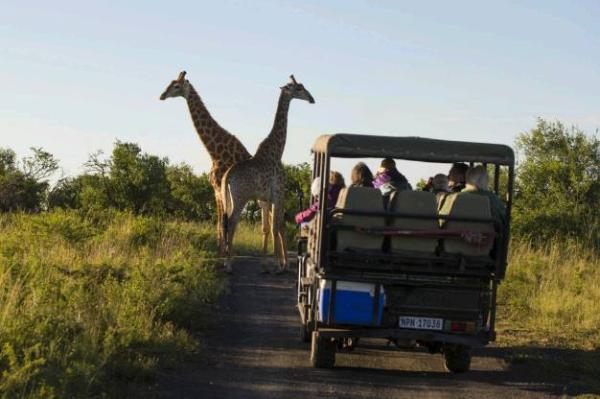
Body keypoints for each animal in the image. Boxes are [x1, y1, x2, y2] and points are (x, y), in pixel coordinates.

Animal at [161, 71, 270, 256]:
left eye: (176, 86)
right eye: (169, 83)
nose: (161, 95)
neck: (214, 151)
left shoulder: (220, 187)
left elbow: (222, 220)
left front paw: (223, 252)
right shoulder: (216, 190)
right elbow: (220, 220)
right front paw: (221, 250)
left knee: (267, 220)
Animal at [220, 75, 314, 274]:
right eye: (299, 88)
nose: (312, 98)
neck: (277, 151)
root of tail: (227, 175)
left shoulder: (266, 198)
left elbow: (270, 227)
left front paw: (273, 264)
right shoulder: (278, 193)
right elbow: (277, 226)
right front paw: (280, 265)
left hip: (228, 198)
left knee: (226, 223)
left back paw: (226, 261)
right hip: (241, 198)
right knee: (232, 222)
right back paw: (229, 264)